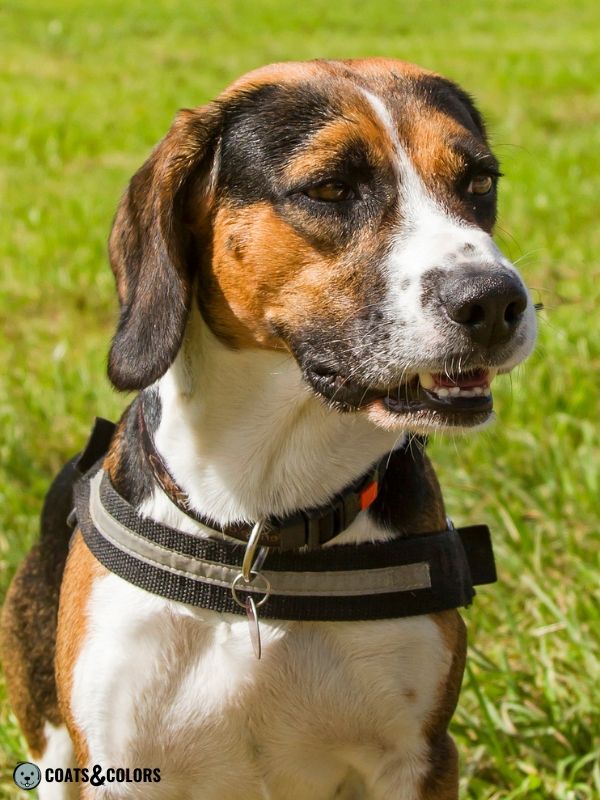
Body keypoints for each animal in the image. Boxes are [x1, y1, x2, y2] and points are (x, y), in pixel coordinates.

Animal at [2, 57, 536, 800]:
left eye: (479, 183)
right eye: (331, 188)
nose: (494, 301)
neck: (263, 518)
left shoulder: (418, 757)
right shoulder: (116, 762)